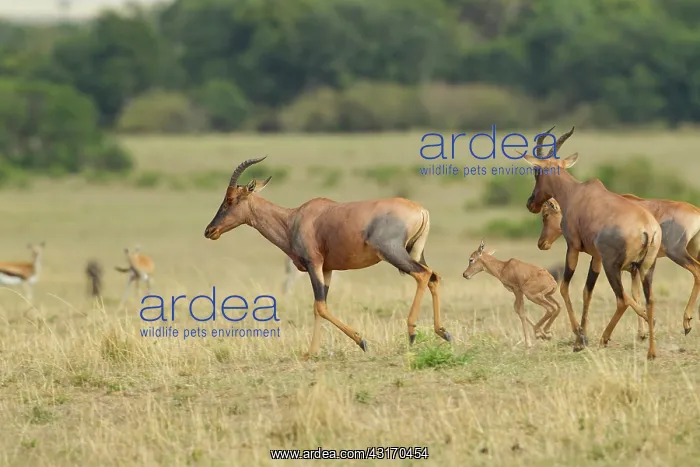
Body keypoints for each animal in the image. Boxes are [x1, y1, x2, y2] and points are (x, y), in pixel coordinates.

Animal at [203, 156, 452, 358]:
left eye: (230, 199)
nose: (209, 230)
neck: (294, 218)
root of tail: (420, 210)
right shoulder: (327, 269)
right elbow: (318, 307)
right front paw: (311, 352)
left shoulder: (314, 264)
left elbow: (320, 306)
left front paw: (361, 342)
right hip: (415, 252)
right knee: (434, 276)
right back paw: (443, 332)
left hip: (393, 252)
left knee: (423, 275)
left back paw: (411, 332)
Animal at [520, 126, 662, 360]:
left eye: (536, 172)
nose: (530, 203)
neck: (577, 193)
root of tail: (647, 229)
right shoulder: (595, 257)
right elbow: (588, 292)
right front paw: (582, 338)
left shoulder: (573, 248)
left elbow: (565, 287)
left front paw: (579, 339)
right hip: (645, 268)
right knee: (649, 300)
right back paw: (651, 352)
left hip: (612, 266)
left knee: (622, 299)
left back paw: (605, 338)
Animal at [539, 196, 700, 336]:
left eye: (546, 214)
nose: (541, 243)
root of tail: (695, 211)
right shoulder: (632, 267)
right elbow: (635, 293)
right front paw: (642, 333)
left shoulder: (602, 259)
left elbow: (594, 291)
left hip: (676, 252)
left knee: (697, 271)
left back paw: (686, 322)